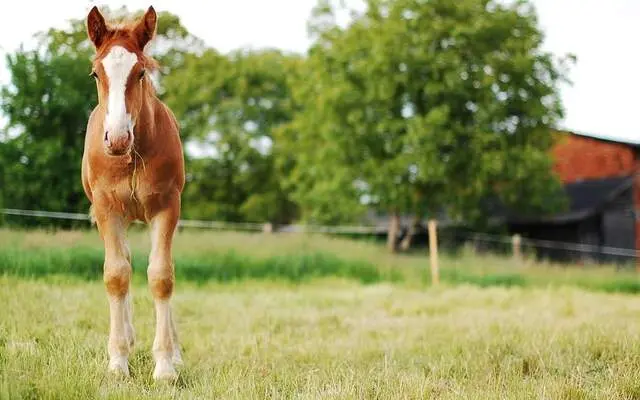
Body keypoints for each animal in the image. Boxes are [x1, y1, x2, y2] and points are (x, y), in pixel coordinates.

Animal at [80, 6, 185, 382]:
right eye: (95, 73)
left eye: (140, 72)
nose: (117, 138)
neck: (133, 155)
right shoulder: (107, 209)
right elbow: (116, 275)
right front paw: (117, 363)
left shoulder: (167, 207)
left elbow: (161, 276)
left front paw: (166, 365)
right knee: (121, 264)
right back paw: (125, 338)